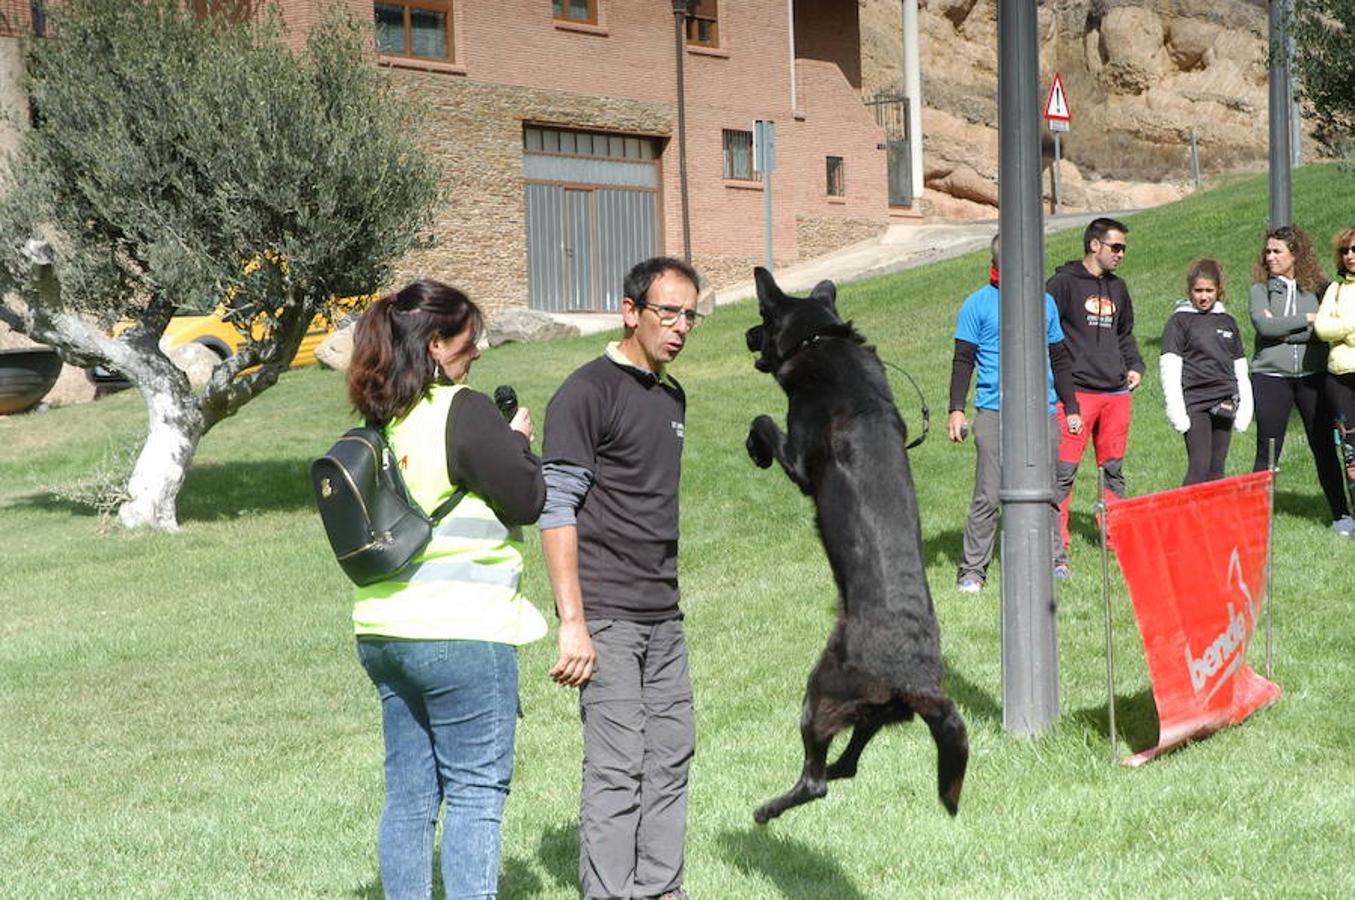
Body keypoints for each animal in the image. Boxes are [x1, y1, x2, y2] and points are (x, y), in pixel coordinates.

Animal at [747, 265, 970, 824]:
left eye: (762, 316)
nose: (746, 335)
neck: (822, 339)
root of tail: (918, 682)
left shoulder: (799, 459)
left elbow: (763, 421)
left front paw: (755, 447)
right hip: (872, 713)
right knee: (844, 768)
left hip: (822, 691)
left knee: (816, 781)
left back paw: (767, 810)